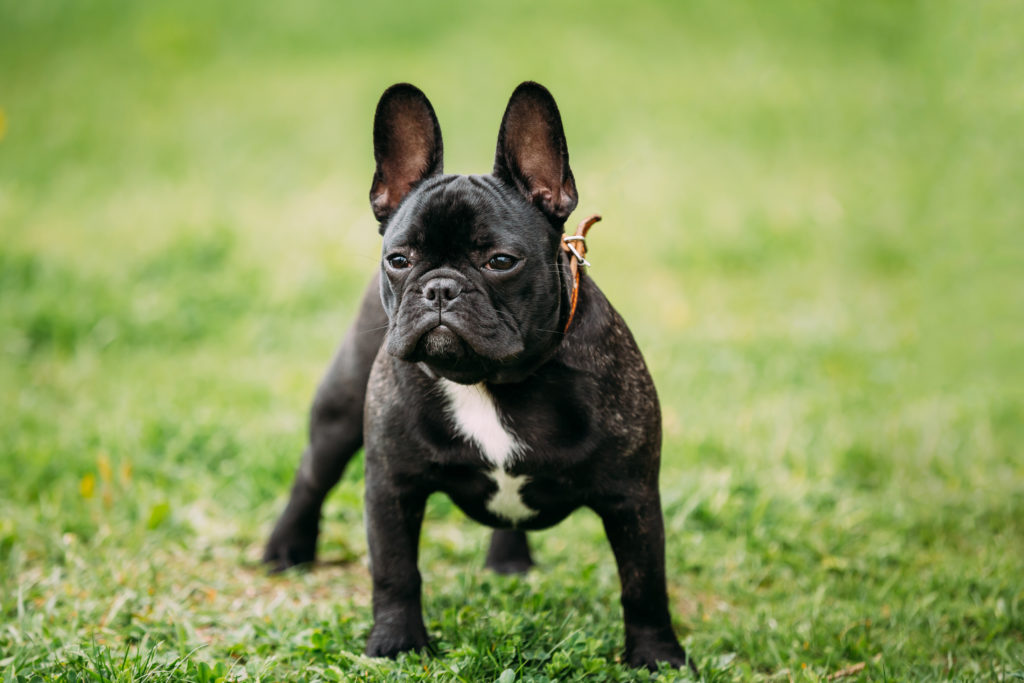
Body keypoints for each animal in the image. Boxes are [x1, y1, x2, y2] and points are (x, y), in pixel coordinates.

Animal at [264, 81, 696, 671]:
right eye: (399, 259)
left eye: (500, 261)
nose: (440, 287)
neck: (492, 382)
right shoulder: (391, 486)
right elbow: (396, 572)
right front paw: (396, 643)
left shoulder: (632, 496)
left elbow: (643, 581)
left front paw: (657, 656)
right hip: (340, 409)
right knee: (312, 477)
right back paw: (285, 548)